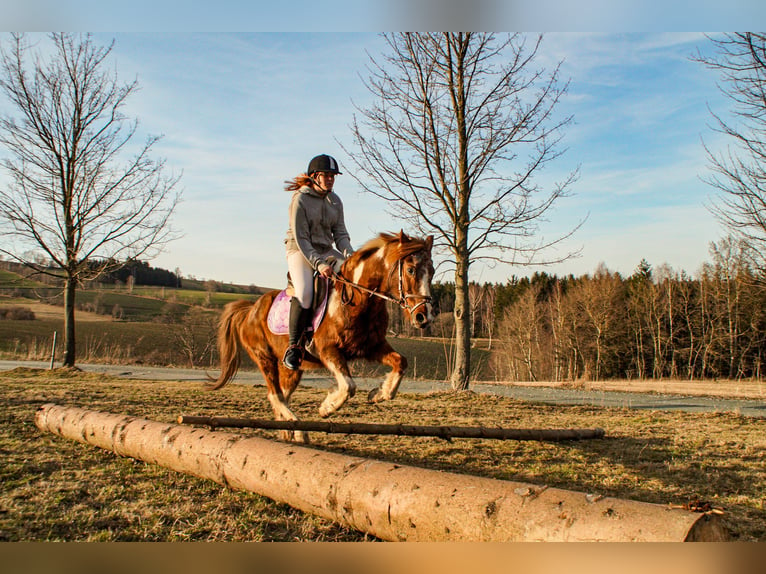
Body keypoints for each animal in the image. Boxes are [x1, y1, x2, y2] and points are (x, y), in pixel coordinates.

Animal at [210, 232, 436, 444]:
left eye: (432, 272)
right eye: (410, 270)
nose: (423, 317)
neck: (359, 300)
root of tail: (251, 309)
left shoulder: (373, 346)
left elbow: (401, 362)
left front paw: (379, 393)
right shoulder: (328, 350)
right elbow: (348, 386)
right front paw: (327, 407)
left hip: (291, 368)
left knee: (283, 395)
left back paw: (288, 433)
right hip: (264, 358)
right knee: (275, 395)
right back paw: (300, 431)